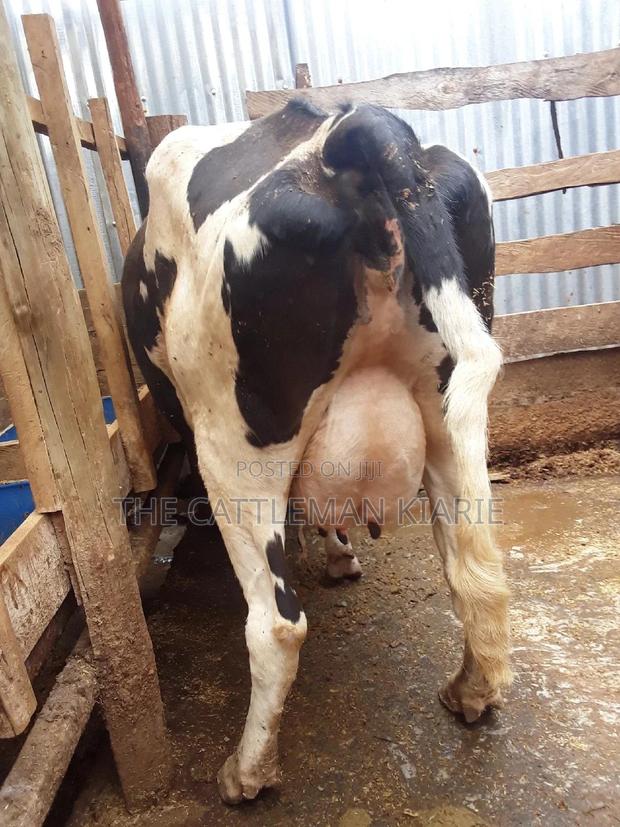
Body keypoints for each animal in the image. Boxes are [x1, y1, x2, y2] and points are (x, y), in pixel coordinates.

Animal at [122, 100, 511, 804]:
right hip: (451, 416)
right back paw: (470, 693)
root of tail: (357, 125)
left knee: (276, 625)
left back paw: (246, 772)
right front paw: (337, 553)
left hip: (233, 443)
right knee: (476, 576)